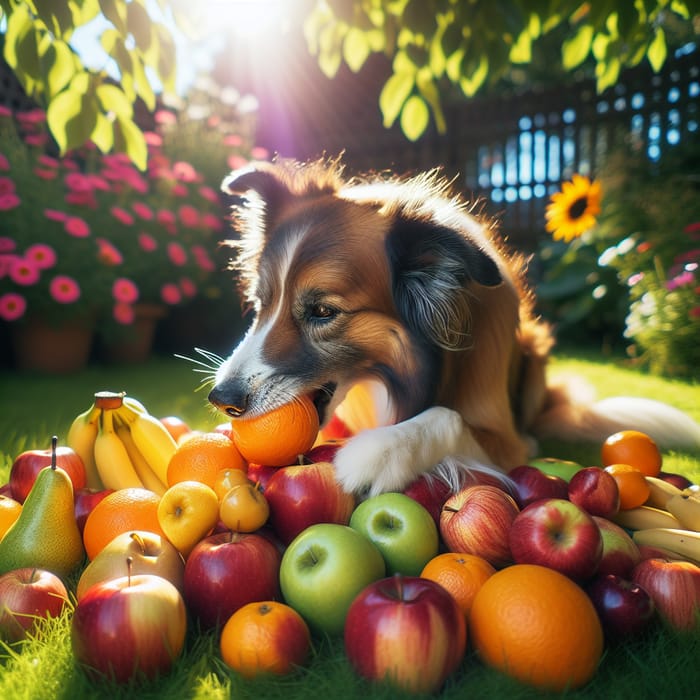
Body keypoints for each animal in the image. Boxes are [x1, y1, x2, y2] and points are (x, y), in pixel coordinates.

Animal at [208, 159, 700, 498]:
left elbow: (446, 415)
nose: (220, 400)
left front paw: (376, 453)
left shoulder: (507, 442)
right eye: (260, 304)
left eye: (323, 312)